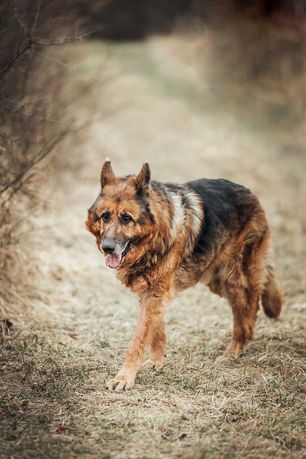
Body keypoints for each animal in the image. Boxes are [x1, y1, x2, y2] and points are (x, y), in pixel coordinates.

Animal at [86, 162, 282, 392]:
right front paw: (157, 360)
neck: (153, 239)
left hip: (234, 279)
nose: (107, 248)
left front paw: (124, 377)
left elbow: (138, 340)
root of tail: (249, 193)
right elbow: (156, 329)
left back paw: (234, 351)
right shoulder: (153, 293)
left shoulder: (155, 294)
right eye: (105, 216)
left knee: (248, 310)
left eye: (126, 218)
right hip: (217, 280)